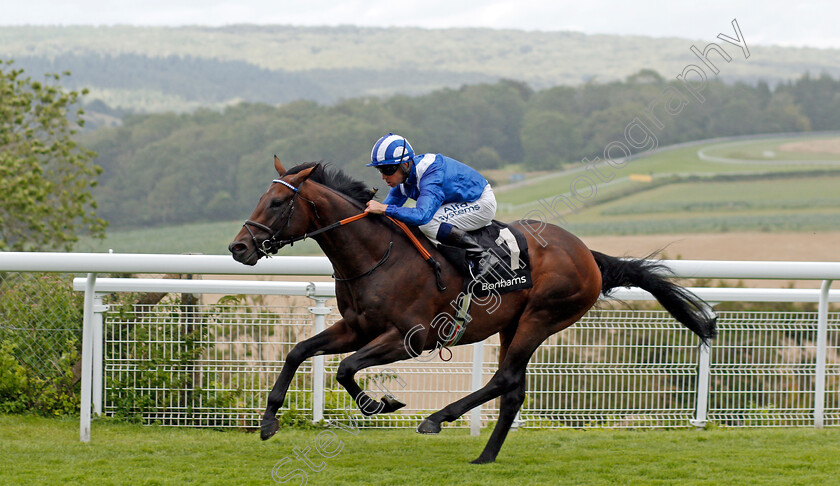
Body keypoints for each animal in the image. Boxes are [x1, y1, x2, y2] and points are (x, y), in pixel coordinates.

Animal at [228, 159, 716, 464]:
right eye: (260, 198)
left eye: (277, 203)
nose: (239, 248)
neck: (376, 255)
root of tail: (587, 255)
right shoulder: (356, 327)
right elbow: (299, 351)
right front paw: (269, 421)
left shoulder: (410, 338)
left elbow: (347, 368)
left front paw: (380, 403)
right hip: (513, 324)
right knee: (514, 389)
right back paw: (485, 455)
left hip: (542, 317)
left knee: (504, 379)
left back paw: (437, 419)